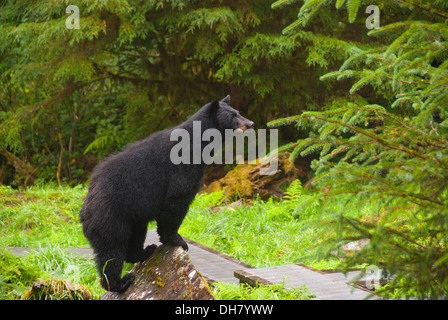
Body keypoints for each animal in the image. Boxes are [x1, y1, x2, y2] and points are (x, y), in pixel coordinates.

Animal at [79, 95, 254, 292]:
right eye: (233, 116)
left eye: (238, 112)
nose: (251, 123)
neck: (198, 143)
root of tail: (84, 209)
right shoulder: (181, 169)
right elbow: (177, 200)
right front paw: (178, 240)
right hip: (110, 218)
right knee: (112, 250)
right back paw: (119, 282)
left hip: (132, 218)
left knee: (135, 236)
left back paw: (144, 252)